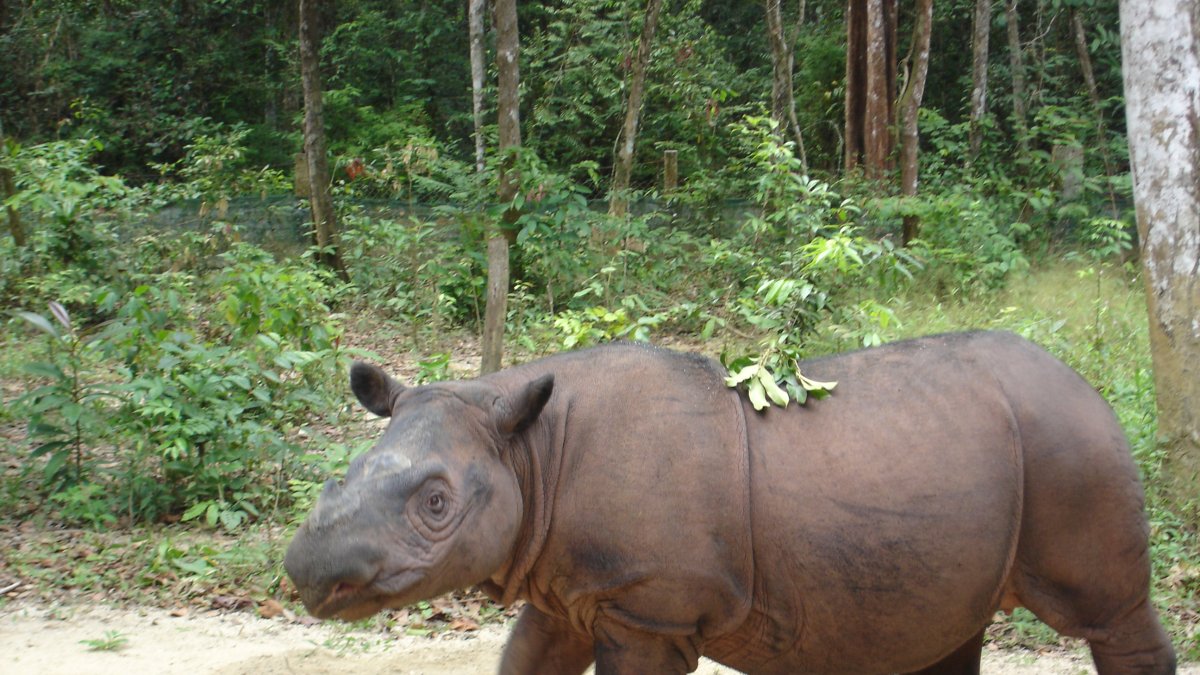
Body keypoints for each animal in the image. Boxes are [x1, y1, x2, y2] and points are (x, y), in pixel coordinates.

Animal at [284, 331, 1176, 674]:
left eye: (437, 503)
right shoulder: (569, 590)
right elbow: (524, 661)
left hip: (1074, 444)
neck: (526, 450)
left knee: (1107, 611)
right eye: (340, 476)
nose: (306, 569)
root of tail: (1084, 381)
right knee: (949, 628)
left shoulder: (650, 606)